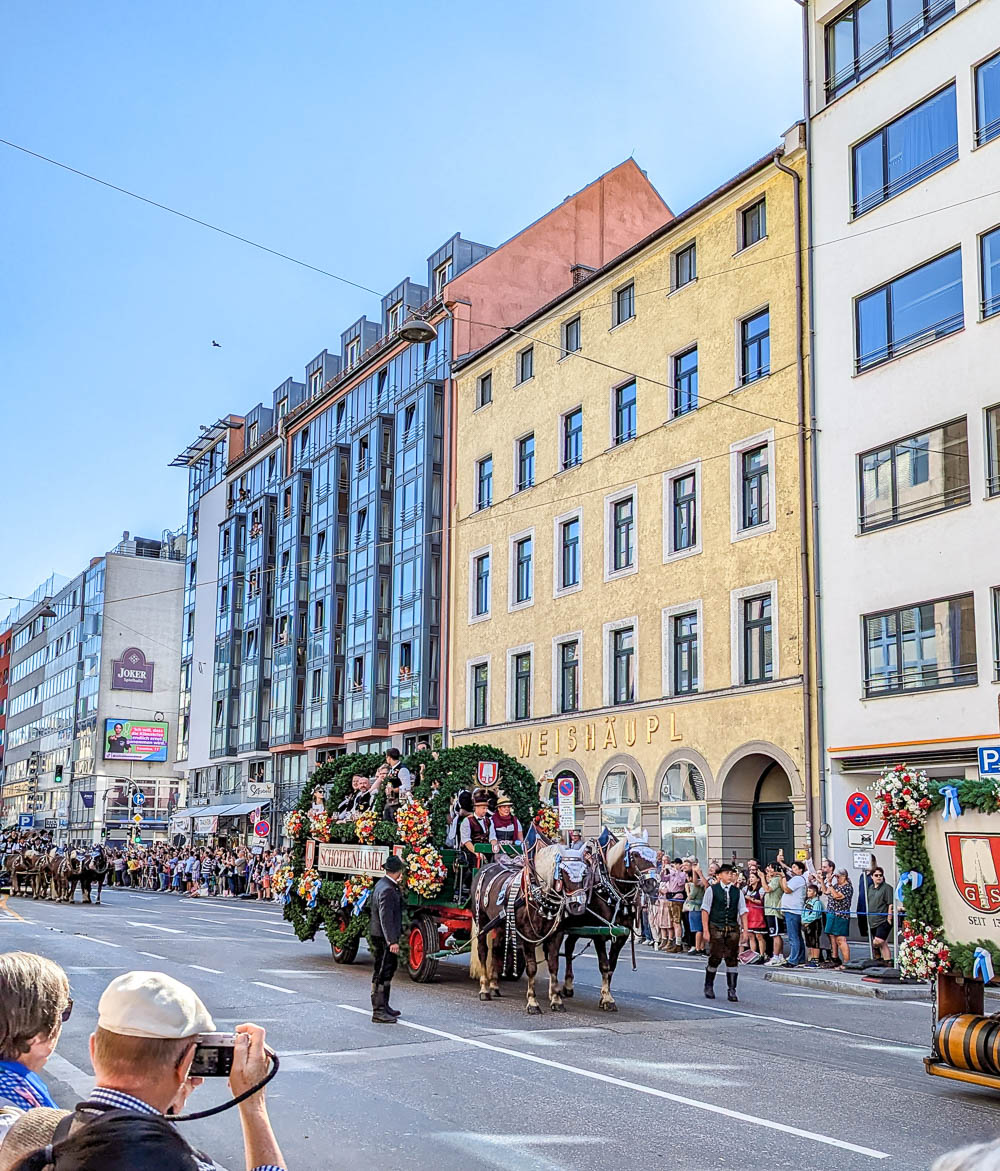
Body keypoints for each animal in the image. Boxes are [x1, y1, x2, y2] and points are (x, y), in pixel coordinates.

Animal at [470, 843, 594, 1016]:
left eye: (584, 872)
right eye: (564, 872)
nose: (578, 906)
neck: (538, 892)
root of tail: (486, 867)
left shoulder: (556, 935)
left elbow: (554, 965)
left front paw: (556, 1000)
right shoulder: (528, 935)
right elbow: (532, 968)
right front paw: (532, 1002)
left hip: (501, 924)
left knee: (496, 950)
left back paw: (494, 985)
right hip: (481, 920)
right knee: (483, 951)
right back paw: (484, 989)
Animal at [564, 829, 665, 1011]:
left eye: (654, 854)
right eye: (635, 854)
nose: (652, 884)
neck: (611, 892)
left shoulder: (622, 935)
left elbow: (612, 966)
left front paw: (606, 996)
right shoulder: (598, 934)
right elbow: (604, 965)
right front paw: (607, 999)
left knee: (568, 947)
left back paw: (568, 986)